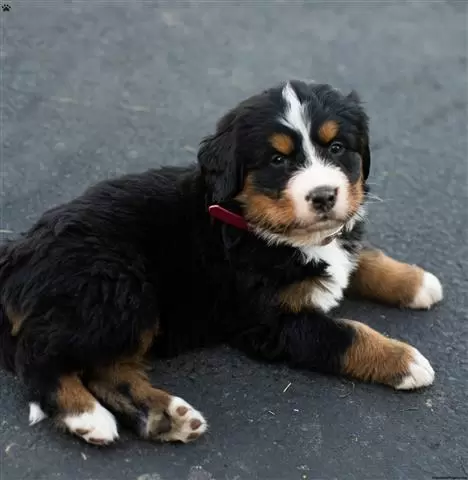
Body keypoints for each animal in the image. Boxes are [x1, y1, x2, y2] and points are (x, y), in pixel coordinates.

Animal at [0, 80, 442, 444]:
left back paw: (167, 417)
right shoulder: (271, 322)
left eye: (336, 148)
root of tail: (17, 253)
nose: (323, 196)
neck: (256, 223)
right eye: (278, 160)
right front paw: (405, 360)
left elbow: (362, 256)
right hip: (116, 287)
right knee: (38, 356)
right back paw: (85, 416)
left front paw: (415, 281)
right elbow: (349, 333)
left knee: (107, 370)